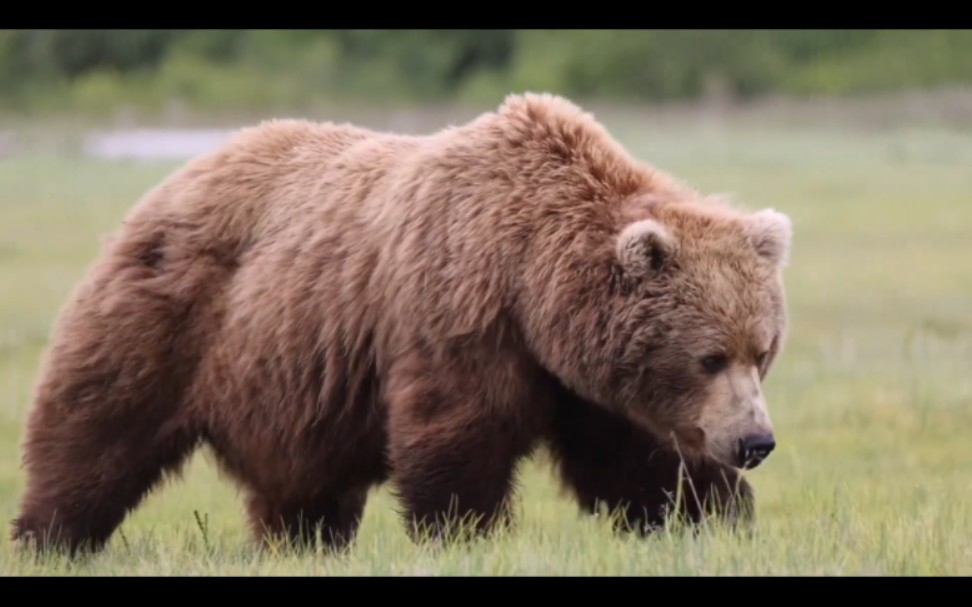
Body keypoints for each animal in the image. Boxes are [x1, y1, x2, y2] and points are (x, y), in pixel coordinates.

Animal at [11, 94, 792, 556]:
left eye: (761, 351)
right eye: (710, 355)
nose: (756, 441)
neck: (533, 281)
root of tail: (183, 170)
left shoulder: (583, 377)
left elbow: (640, 461)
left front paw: (716, 516)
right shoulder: (462, 309)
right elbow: (459, 434)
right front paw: (464, 532)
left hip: (290, 373)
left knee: (301, 480)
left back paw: (300, 542)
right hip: (173, 314)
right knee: (97, 426)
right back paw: (49, 535)